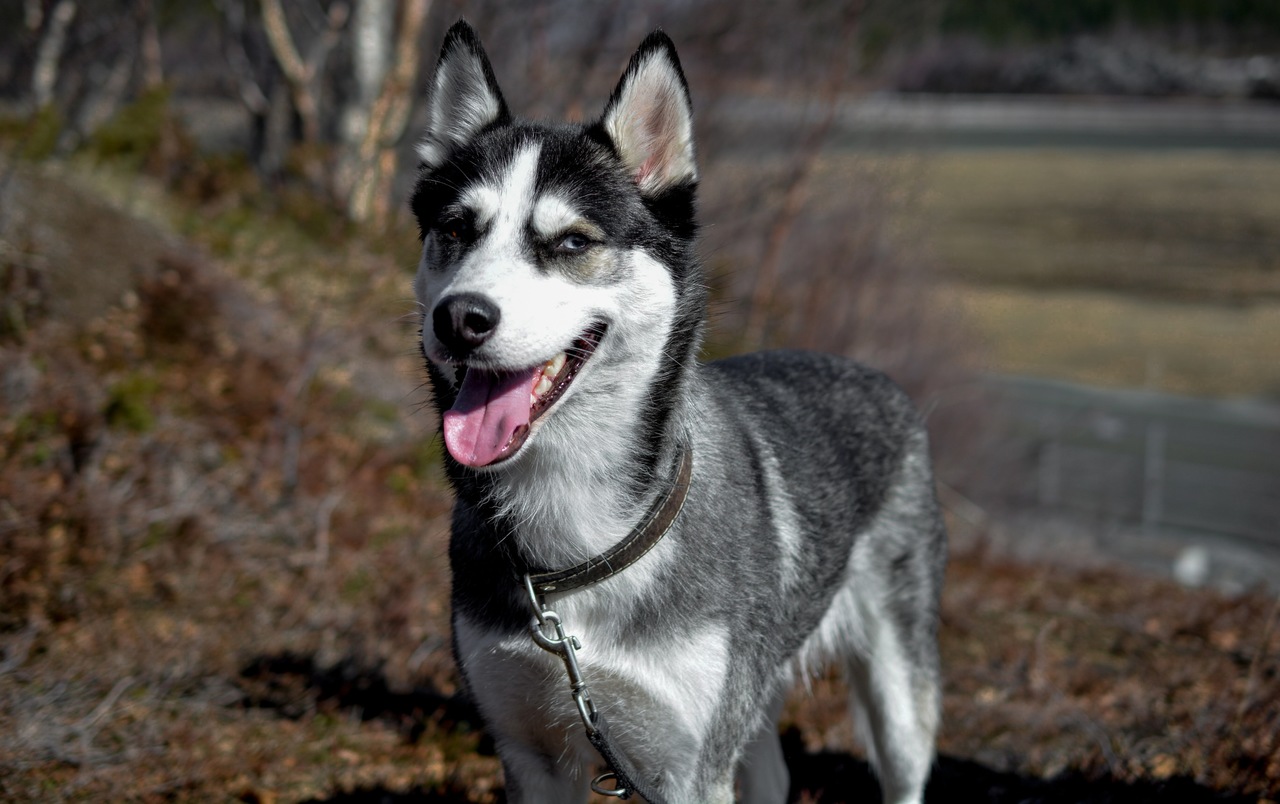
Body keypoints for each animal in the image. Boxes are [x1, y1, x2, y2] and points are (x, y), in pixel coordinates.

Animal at [414, 18, 947, 803]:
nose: (460, 318)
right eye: (455, 229)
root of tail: (870, 373)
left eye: (572, 241)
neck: (579, 545)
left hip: (898, 688)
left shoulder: (685, 767)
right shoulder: (529, 750)